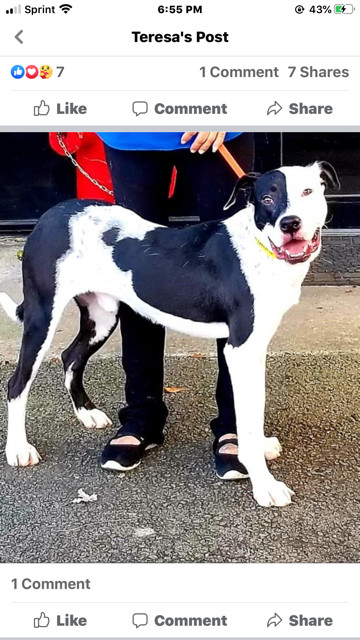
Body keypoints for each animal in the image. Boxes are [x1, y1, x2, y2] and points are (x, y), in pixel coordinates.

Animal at [0, 162, 338, 508]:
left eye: (307, 191)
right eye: (268, 198)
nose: (290, 223)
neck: (259, 245)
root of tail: (52, 214)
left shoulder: (256, 346)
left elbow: (252, 413)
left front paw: (260, 447)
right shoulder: (241, 349)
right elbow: (248, 417)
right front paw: (265, 485)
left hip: (102, 316)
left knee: (70, 357)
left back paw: (88, 414)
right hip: (43, 317)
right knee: (17, 383)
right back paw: (18, 449)